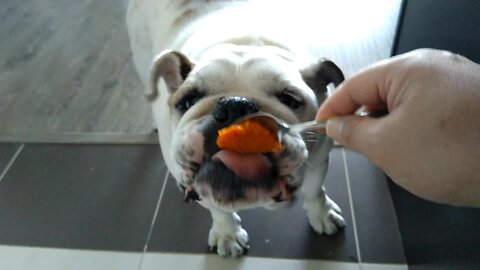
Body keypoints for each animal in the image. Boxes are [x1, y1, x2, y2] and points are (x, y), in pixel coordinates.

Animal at [127, 0, 344, 258]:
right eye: (188, 101)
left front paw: (322, 214)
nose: (235, 105)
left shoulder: (318, 160)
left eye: (289, 99)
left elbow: (314, 190)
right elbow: (219, 210)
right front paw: (228, 234)